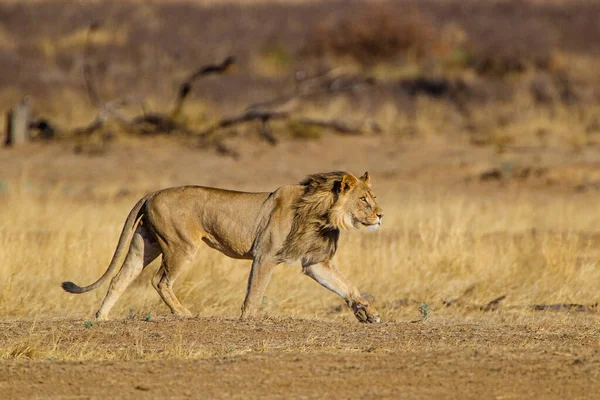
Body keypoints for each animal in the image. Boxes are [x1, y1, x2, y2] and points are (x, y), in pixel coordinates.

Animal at [62, 171, 384, 322]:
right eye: (364, 199)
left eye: (372, 197)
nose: (381, 215)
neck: (323, 214)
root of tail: (152, 193)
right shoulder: (265, 255)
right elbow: (254, 293)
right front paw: (247, 320)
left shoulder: (315, 262)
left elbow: (346, 286)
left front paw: (367, 312)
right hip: (180, 245)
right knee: (159, 280)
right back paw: (184, 313)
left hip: (146, 243)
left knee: (120, 278)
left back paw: (101, 317)